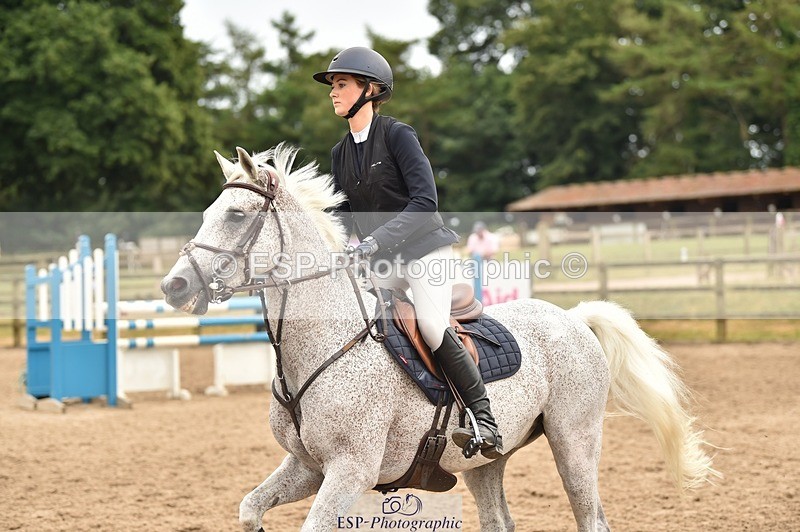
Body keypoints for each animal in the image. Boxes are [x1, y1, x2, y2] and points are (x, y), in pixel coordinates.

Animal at [160, 144, 718, 531]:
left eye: (235, 214)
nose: (174, 286)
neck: (323, 346)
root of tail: (573, 318)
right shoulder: (308, 467)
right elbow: (249, 508)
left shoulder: (349, 470)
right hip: (486, 462)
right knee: (499, 518)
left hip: (574, 440)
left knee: (592, 517)